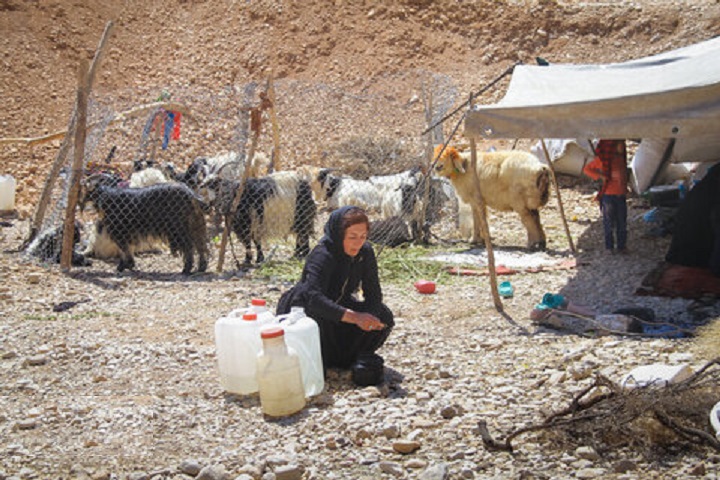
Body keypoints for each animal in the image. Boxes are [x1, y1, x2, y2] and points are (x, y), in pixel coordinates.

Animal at [80, 175, 208, 274]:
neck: (105, 196)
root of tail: (191, 195)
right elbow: (126, 248)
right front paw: (128, 265)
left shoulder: (120, 230)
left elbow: (123, 248)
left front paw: (124, 266)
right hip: (194, 223)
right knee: (200, 244)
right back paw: (201, 267)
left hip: (178, 227)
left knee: (189, 245)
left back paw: (187, 269)